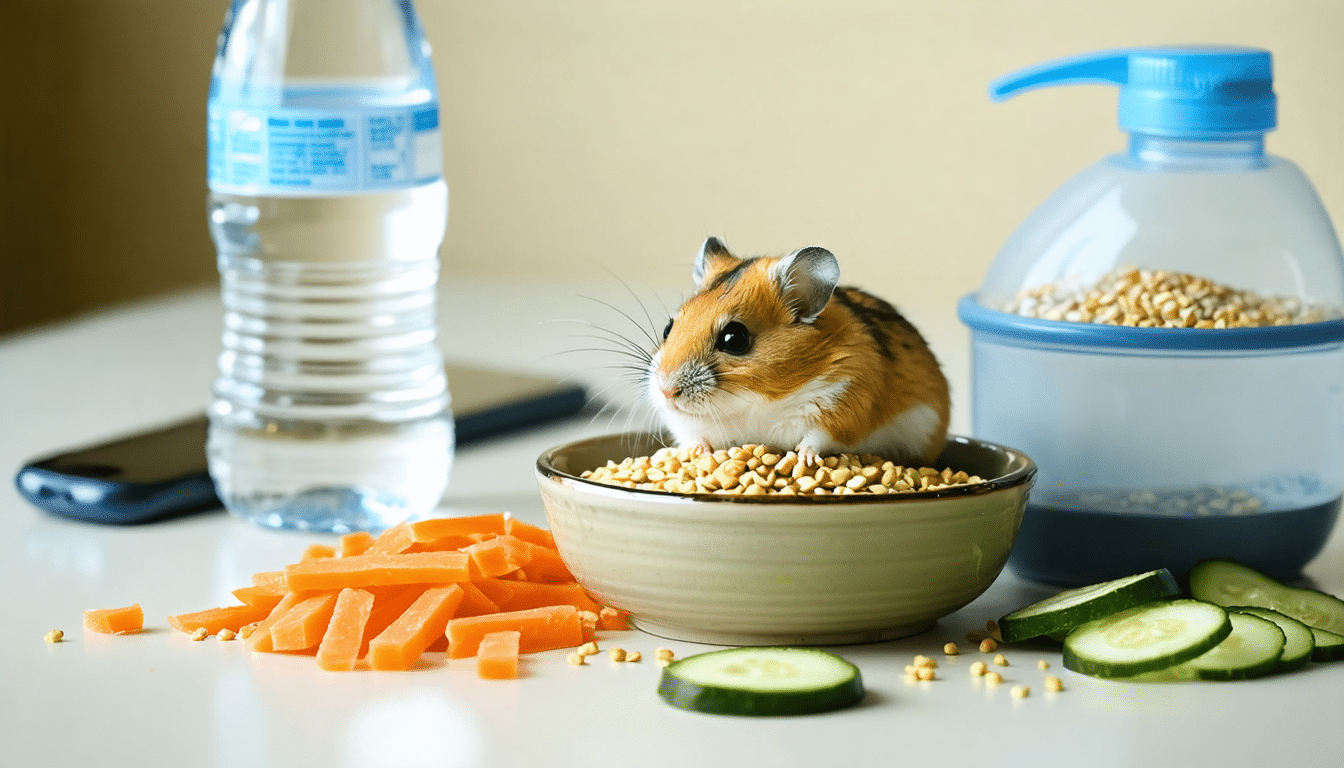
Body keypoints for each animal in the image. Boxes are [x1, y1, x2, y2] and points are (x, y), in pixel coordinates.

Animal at [647, 236, 951, 467]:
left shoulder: (845, 403)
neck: (757, 403)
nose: (665, 391)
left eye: (735, 339)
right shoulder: (686, 425)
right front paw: (695, 453)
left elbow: (816, 439)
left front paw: (804, 460)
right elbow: (696, 438)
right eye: (668, 328)